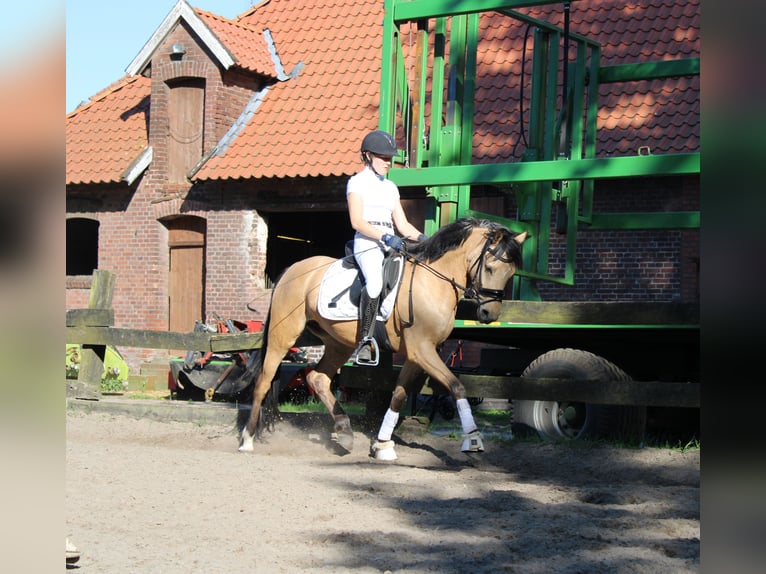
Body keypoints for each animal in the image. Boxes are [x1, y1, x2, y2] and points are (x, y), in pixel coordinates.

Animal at [240, 218, 528, 462]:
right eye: (489, 267)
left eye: (511, 272)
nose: (489, 315)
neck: (433, 281)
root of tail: (293, 269)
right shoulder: (423, 350)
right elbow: (456, 386)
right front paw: (473, 439)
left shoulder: (417, 353)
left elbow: (399, 394)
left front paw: (382, 445)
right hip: (283, 335)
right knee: (263, 382)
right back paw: (247, 439)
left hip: (338, 343)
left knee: (318, 378)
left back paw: (344, 431)